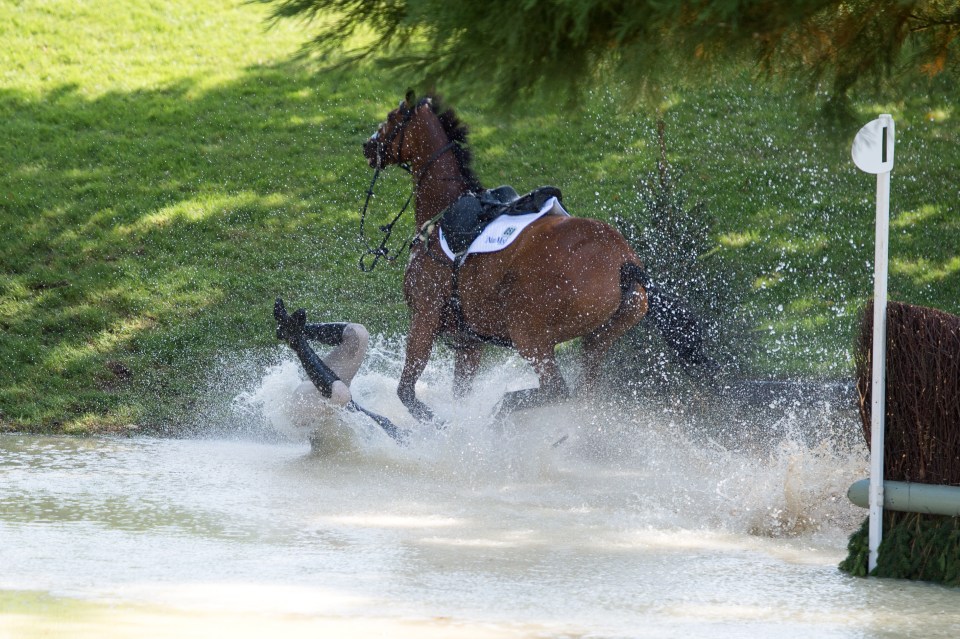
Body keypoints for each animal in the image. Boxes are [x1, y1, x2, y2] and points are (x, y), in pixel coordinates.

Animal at [360, 90, 704, 420]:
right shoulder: (470, 342)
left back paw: (500, 412)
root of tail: (625, 261)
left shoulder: (425, 315)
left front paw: (437, 424)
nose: (367, 145)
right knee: (582, 396)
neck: (442, 214)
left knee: (556, 390)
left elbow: (407, 391)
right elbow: (458, 395)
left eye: (391, 118)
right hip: (596, 341)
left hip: (529, 334)